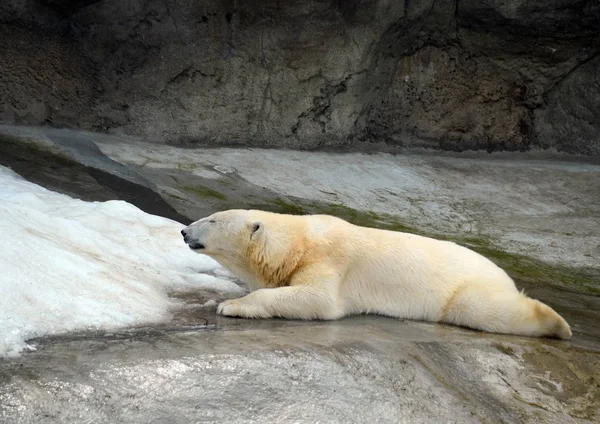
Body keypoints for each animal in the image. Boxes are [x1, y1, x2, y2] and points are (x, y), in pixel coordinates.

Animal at [182, 210, 572, 340]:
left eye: (213, 219)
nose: (184, 231)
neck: (299, 241)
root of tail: (502, 273)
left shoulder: (329, 261)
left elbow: (319, 299)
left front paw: (231, 305)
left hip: (465, 287)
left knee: (482, 308)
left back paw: (558, 325)